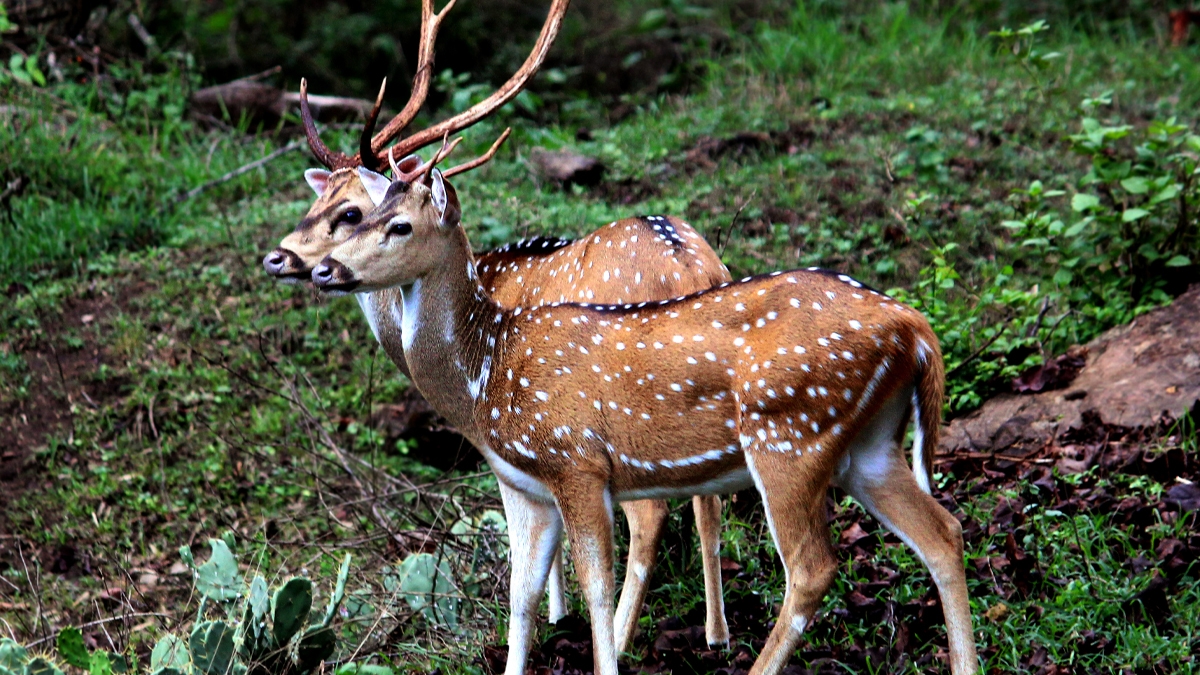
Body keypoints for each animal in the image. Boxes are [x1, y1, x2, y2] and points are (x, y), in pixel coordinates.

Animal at [259, 0, 733, 652]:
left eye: (352, 212)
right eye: (316, 200)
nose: (279, 258)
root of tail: (689, 267)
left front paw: (560, 615)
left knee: (654, 516)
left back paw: (622, 635)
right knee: (710, 504)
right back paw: (715, 633)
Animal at [308, 149, 980, 675]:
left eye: (391, 223)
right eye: (361, 215)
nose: (322, 268)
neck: (485, 378)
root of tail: (915, 328)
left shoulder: (576, 460)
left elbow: (596, 590)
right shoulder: (527, 486)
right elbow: (521, 597)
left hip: (791, 436)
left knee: (812, 568)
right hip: (868, 446)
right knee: (944, 533)